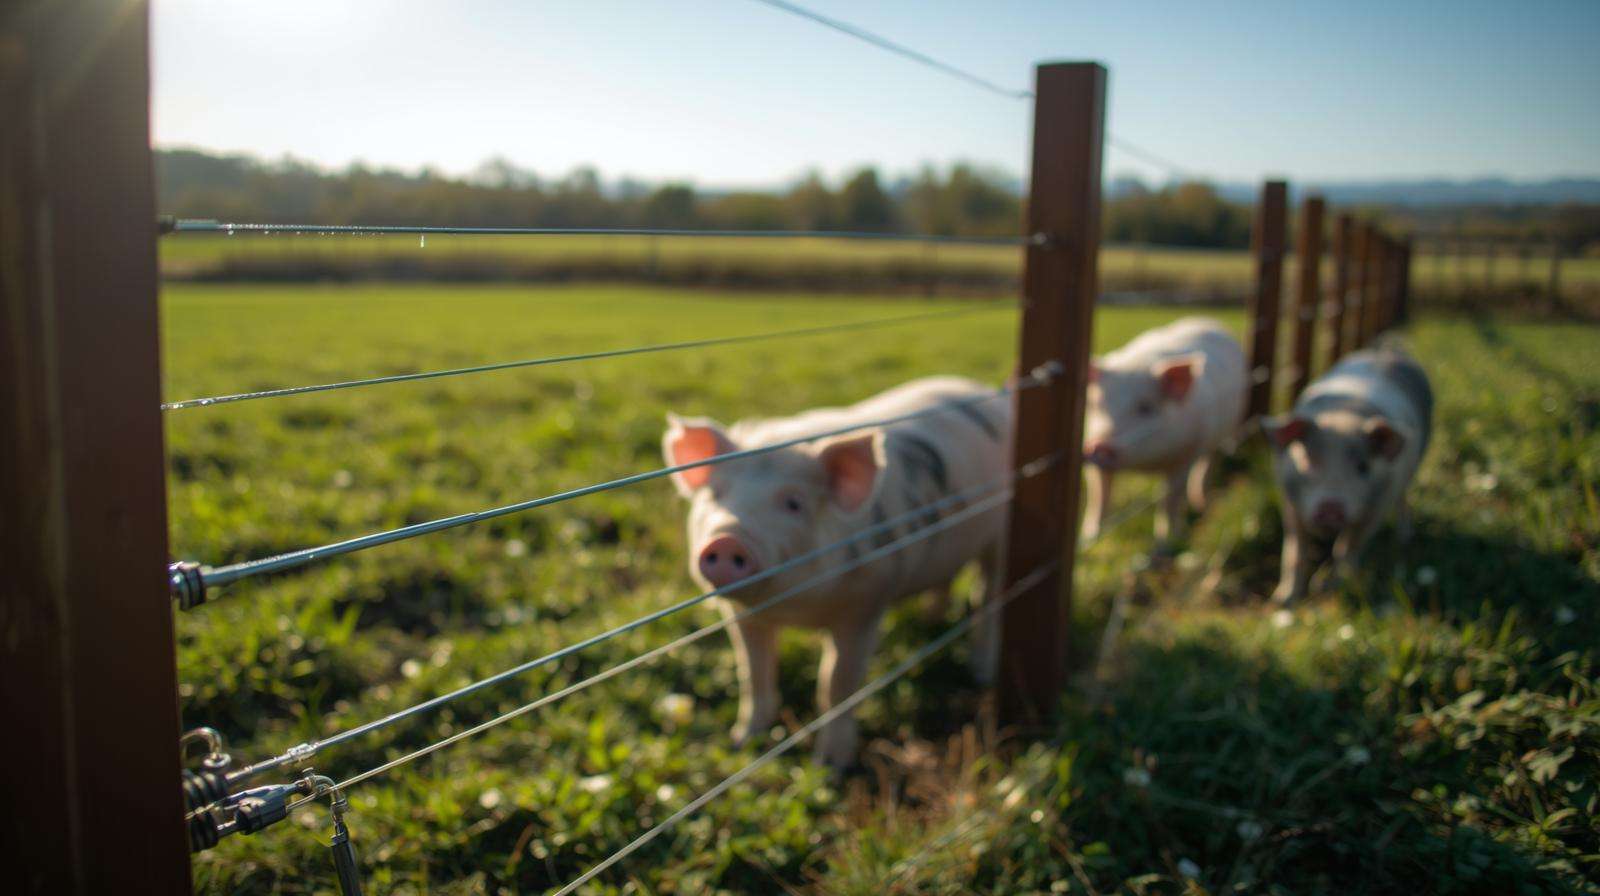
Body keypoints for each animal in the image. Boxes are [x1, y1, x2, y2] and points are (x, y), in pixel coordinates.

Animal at [663, 376, 1011, 767]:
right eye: (716, 494)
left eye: (794, 503)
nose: (727, 540)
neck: (794, 610)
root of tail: (988, 391)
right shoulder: (743, 615)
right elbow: (753, 673)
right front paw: (742, 741)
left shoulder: (866, 605)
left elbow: (836, 684)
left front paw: (830, 767)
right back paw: (930, 622)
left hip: (1002, 533)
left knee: (988, 597)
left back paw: (982, 675)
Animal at [1081, 317, 1248, 544]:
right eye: (1097, 405)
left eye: (1146, 407)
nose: (1100, 444)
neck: (1146, 465)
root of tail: (1207, 319)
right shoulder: (1094, 460)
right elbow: (1098, 497)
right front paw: (1089, 538)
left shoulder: (1186, 455)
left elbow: (1171, 499)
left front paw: (1168, 541)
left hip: (1222, 432)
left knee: (1208, 461)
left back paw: (1202, 503)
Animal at [1263, 346, 1433, 604]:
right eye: (1309, 460)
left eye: (1363, 466)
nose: (1331, 507)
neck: (1343, 417)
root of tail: (1390, 350)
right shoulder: (1289, 502)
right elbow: (1295, 551)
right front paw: (1283, 601)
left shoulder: (1375, 509)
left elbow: (1347, 548)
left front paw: (1329, 589)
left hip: (1410, 471)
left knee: (1404, 498)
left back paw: (1404, 538)